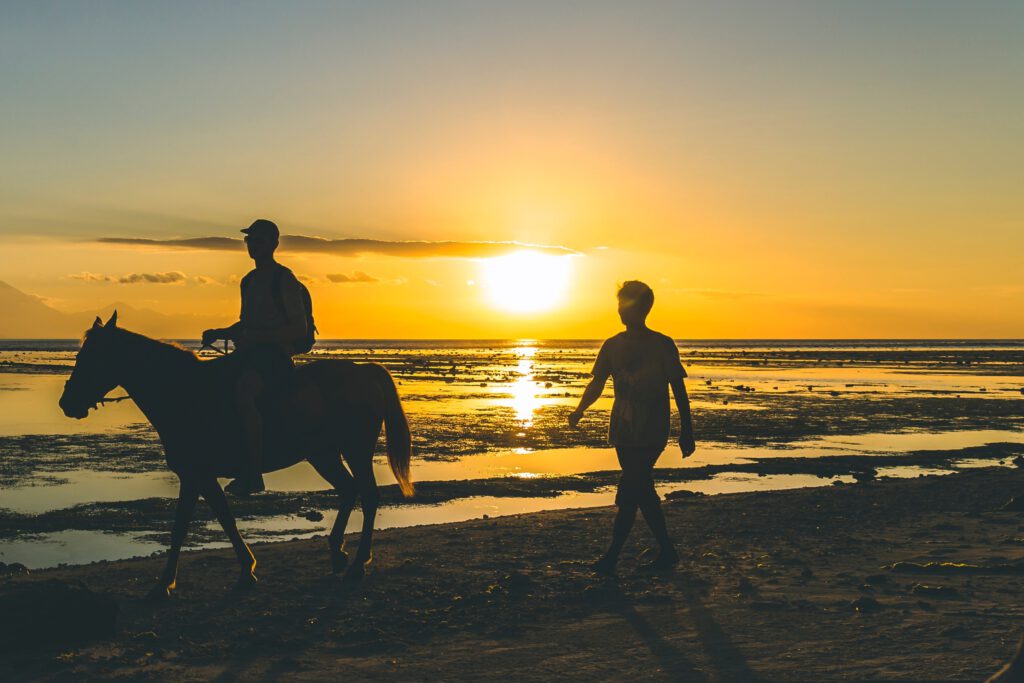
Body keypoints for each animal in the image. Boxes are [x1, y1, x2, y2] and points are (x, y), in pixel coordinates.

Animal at [57, 313, 411, 593]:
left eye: (90, 358)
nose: (66, 403)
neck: (183, 394)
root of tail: (366, 371)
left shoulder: (197, 474)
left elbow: (191, 524)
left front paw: (166, 584)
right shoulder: (196, 477)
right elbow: (213, 519)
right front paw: (239, 572)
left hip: (355, 449)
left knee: (368, 495)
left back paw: (358, 564)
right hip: (322, 454)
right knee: (349, 490)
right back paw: (338, 553)